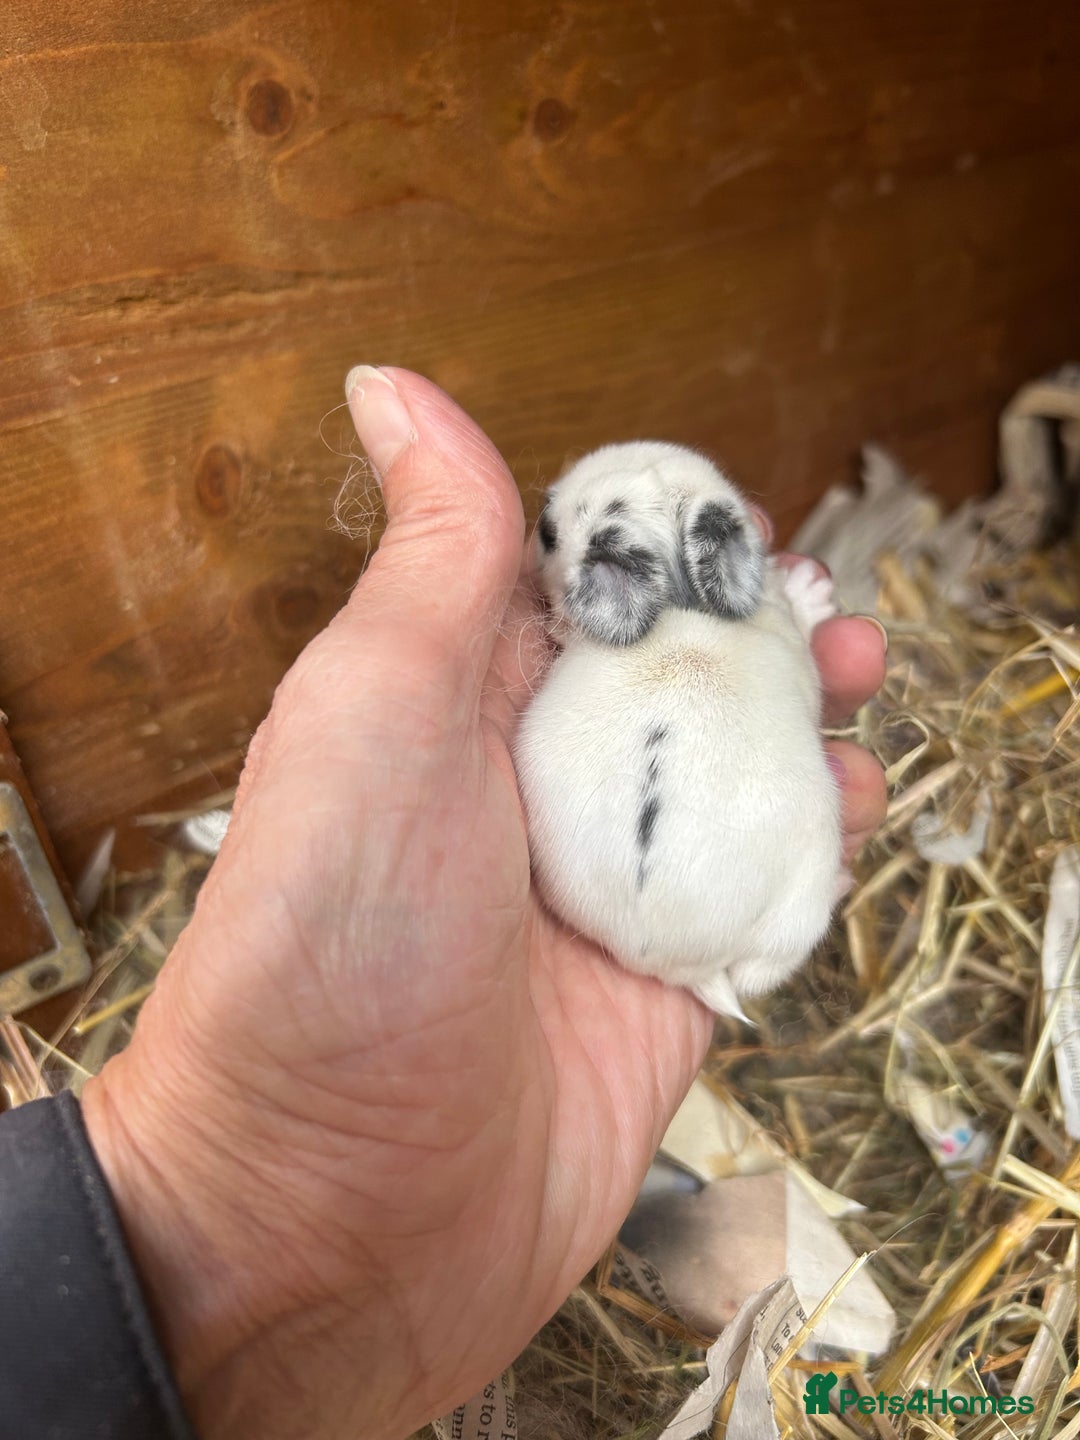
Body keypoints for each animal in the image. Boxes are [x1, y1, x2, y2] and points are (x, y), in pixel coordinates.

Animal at [512, 441, 844, 1018]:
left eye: (550, 535)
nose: (544, 508)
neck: (676, 609)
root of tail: (672, 961)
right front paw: (811, 591)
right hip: (800, 912)